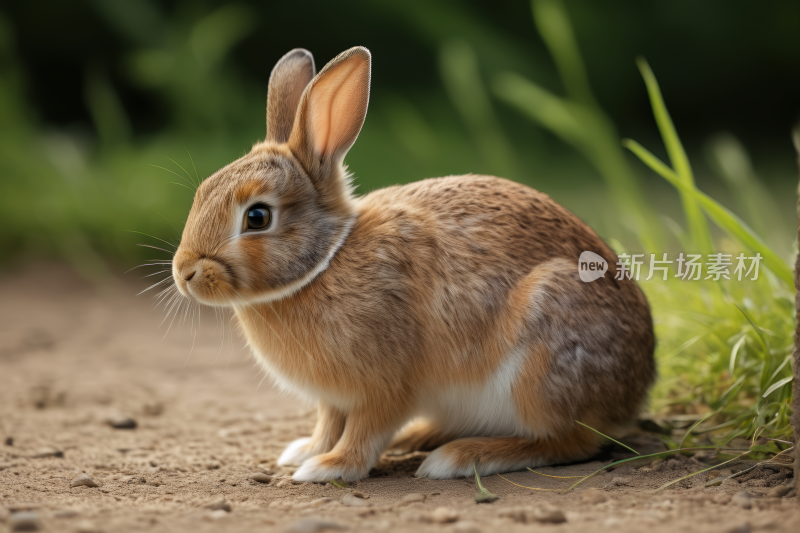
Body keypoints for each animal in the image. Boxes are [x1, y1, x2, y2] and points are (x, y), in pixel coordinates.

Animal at [172, 46, 652, 482]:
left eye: (257, 217)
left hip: (542, 358)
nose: (184, 273)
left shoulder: (385, 384)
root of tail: (636, 389)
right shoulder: (334, 398)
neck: (325, 262)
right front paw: (305, 451)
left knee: (571, 441)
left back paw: (459, 458)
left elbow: (365, 431)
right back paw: (418, 438)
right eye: (202, 191)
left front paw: (328, 467)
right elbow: (328, 423)